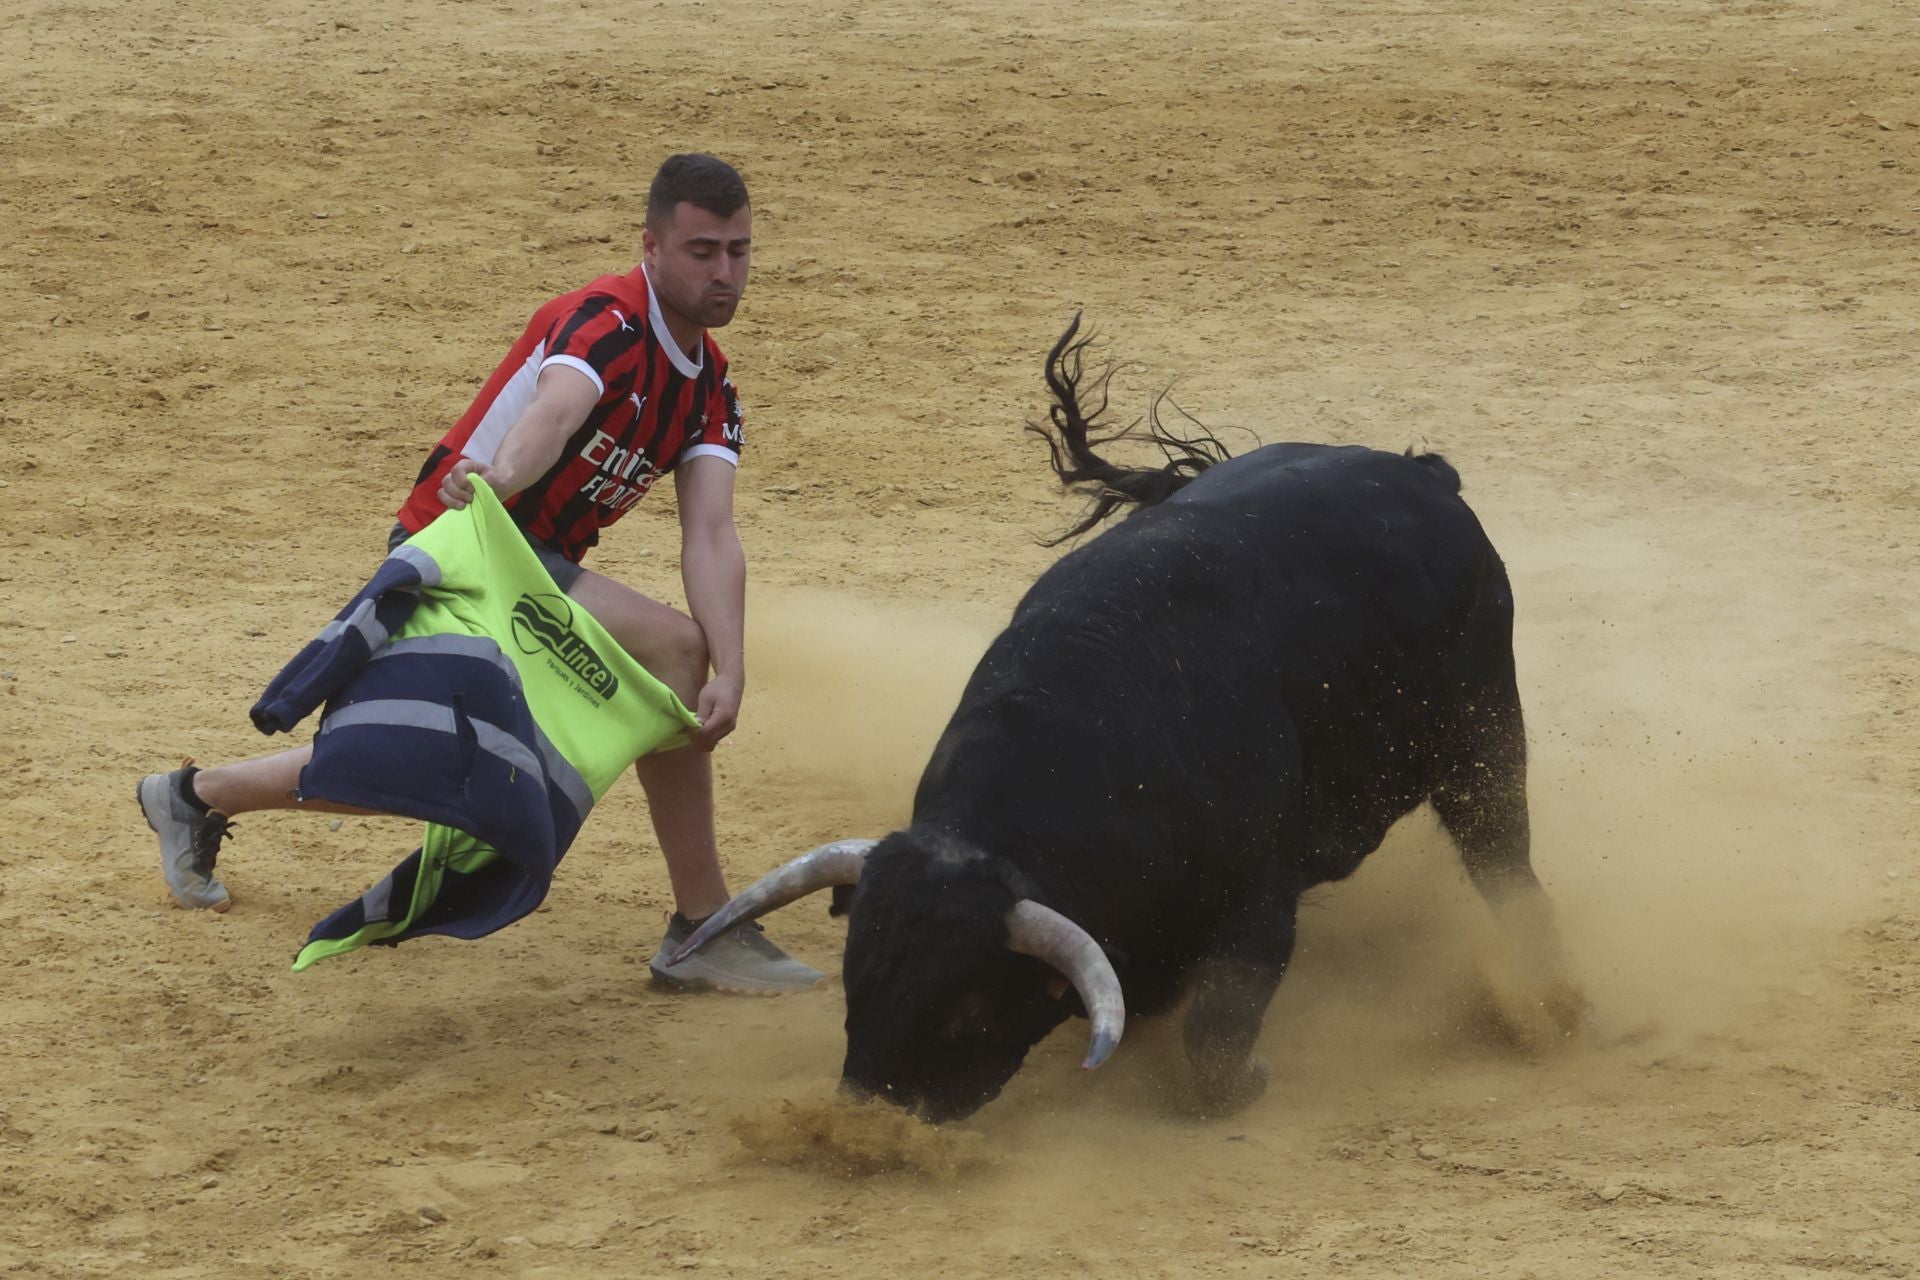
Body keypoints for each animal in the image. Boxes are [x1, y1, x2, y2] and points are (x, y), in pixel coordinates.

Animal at [673, 316, 1585, 1122]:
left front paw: (1247, 1082)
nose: (867, 1127)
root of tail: (1424, 476)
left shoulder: (1259, 907)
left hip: (1482, 738)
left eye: (968, 1009)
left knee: (1505, 859)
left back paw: (1552, 1003)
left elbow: (1215, 1037)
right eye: (858, 978)